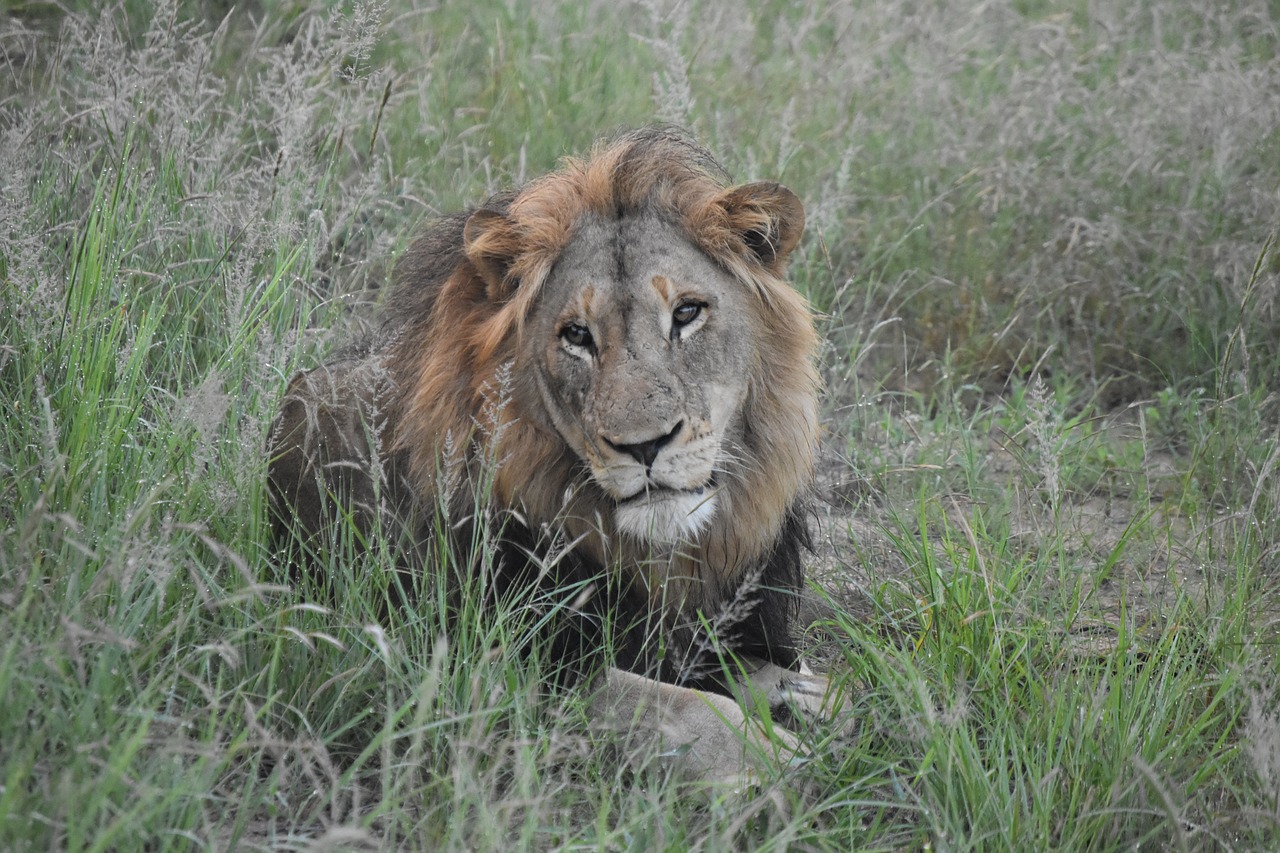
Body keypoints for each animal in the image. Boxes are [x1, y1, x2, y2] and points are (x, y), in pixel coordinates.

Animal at [270, 124, 839, 783]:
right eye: (576, 335)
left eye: (687, 313)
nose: (644, 444)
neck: (662, 557)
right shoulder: (492, 660)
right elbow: (665, 702)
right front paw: (767, 754)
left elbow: (780, 675)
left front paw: (817, 699)